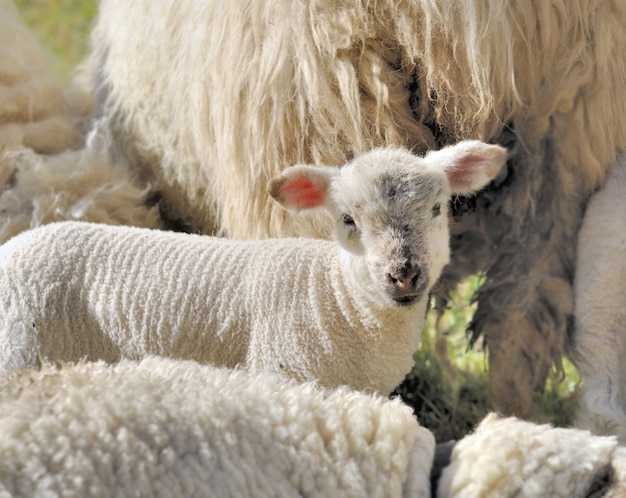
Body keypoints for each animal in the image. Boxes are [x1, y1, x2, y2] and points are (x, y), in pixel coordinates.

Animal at [0, 141, 502, 392]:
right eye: (347, 220)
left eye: (437, 209)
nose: (404, 273)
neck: (336, 297)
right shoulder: (282, 376)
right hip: (19, 350)